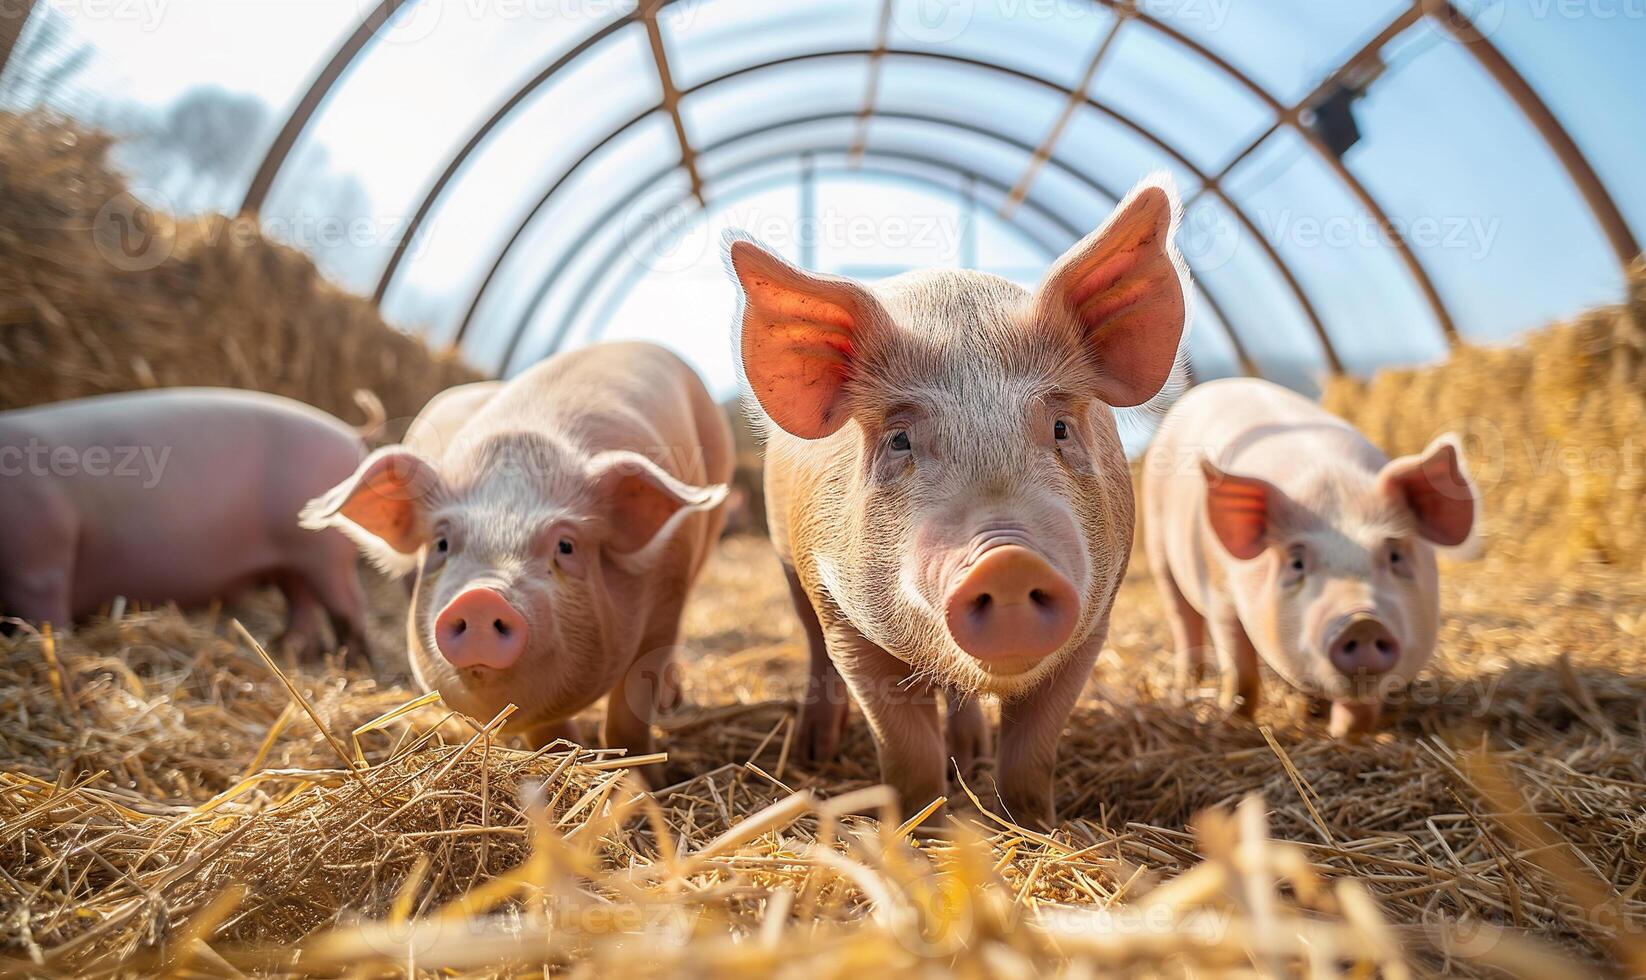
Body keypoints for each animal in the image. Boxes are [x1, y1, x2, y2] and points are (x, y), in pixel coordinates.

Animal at [0, 385, 373, 658]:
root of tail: (349, 434)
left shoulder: (39, 565)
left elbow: (48, 616)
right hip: (293, 560)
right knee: (303, 601)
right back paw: (286, 649)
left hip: (325, 553)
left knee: (347, 605)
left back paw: (352, 663)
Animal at [297, 345, 734, 757]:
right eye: (441, 543)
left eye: (566, 546)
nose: (480, 597)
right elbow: (550, 737)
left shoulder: (667, 598)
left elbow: (629, 716)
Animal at [730, 176, 1185, 826]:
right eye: (899, 439)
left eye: (1061, 428)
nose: (1009, 559)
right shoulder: (843, 614)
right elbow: (905, 748)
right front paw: (918, 826)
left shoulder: (1097, 620)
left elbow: (1032, 752)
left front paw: (1034, 825)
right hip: (788, 561)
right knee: (814, 650)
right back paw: (816, 752)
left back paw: (970, 754)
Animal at [1145, 375, 1481, 737]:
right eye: (1297, 563)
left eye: (1393, 554)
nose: (1362, 623)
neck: (1330, 481)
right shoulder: (1219, 594)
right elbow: (1239, 669)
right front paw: (1229, 722)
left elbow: (1358, 708)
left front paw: (1343, 736)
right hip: (1158, 548)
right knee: (1182, 619)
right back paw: (1184, 689)